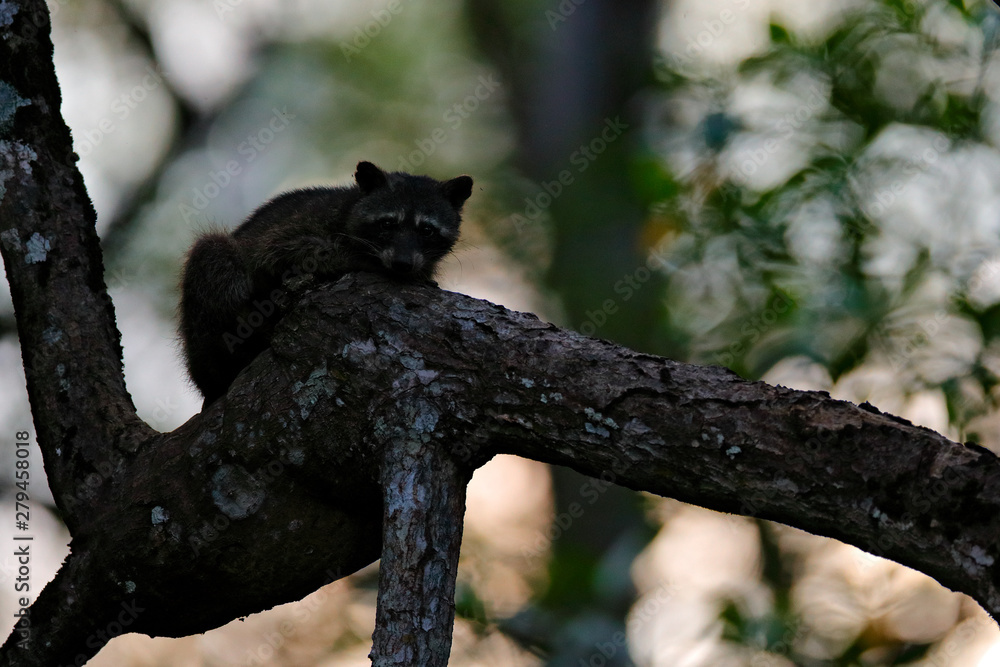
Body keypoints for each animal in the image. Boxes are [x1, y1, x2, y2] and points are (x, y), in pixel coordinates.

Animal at [179, 161, 473, 404]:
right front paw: (362, 260)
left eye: (427, 230)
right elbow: (290, 252)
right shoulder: (293, 229)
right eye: (388, 224)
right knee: (214, 252)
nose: (402, 264)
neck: (351, 207)